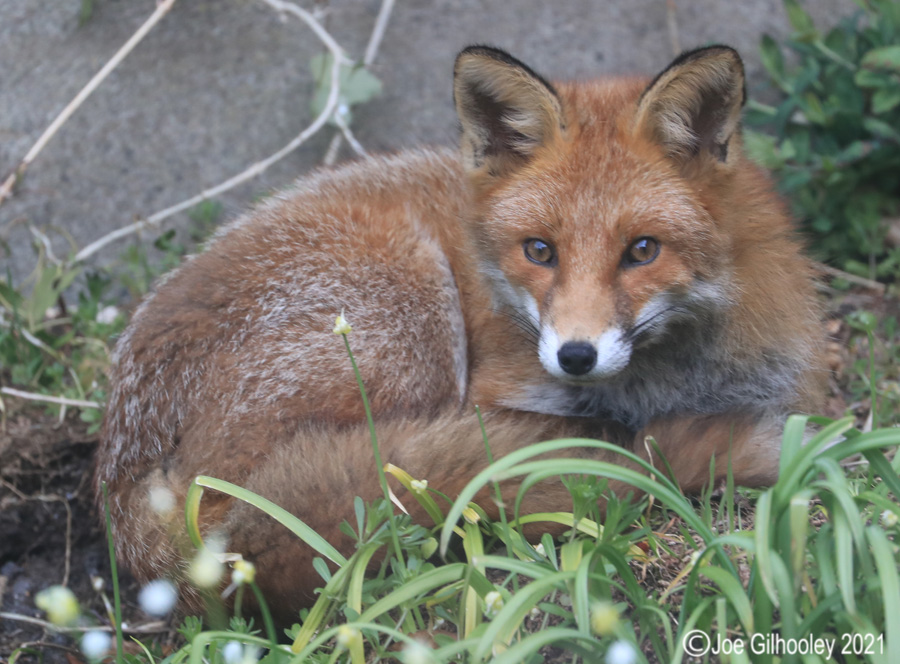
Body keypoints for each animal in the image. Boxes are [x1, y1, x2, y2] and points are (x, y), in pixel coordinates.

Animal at [95, 45, 825, 622]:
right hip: (411, 322)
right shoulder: (491, 396)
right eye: (539, 251)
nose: (575, 356)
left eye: (642, 251)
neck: (665, 385)